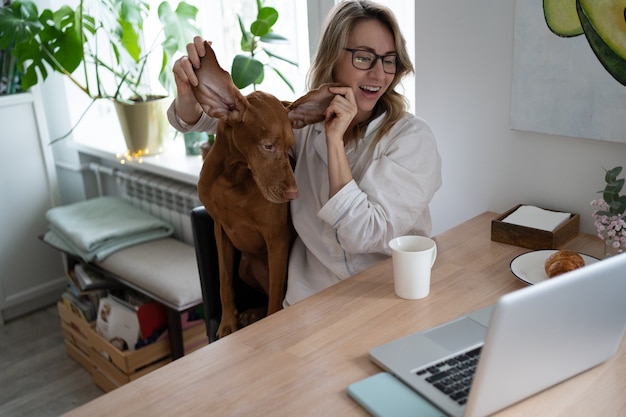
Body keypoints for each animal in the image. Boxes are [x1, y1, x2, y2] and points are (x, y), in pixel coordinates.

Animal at [190, 41, 336, 338]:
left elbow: (275, 304)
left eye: (290, 145)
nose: (293, 195)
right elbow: (224, 282)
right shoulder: (220, 230)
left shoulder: (276, 239)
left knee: (274, 297)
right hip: (245, 265)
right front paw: (227, 323)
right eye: (268, 146)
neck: (234, 176)